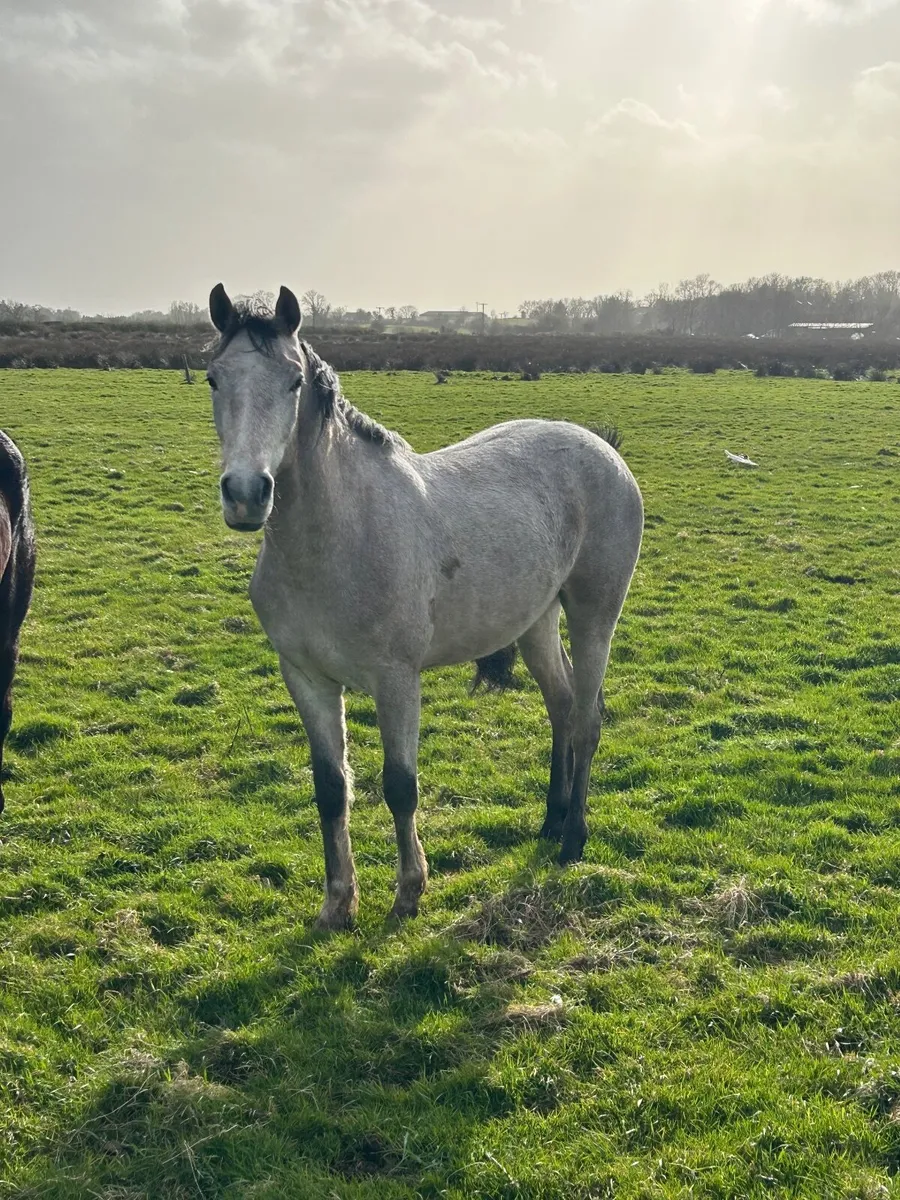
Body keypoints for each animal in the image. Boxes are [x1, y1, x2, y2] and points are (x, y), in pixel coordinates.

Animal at [206, 284, 643, 929]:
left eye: (292, 382)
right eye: (214, 378)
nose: (245, 494)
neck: (338, 537)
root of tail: (601, 448)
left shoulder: (397, 680)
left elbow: (400, 784)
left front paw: (409, 892)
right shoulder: (307, 679)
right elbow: (330, 788)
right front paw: (337, 904)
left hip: (594, 616)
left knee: (588, 718)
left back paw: (572, 841)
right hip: (536, 621)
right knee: (562, 707)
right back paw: (550, 821)